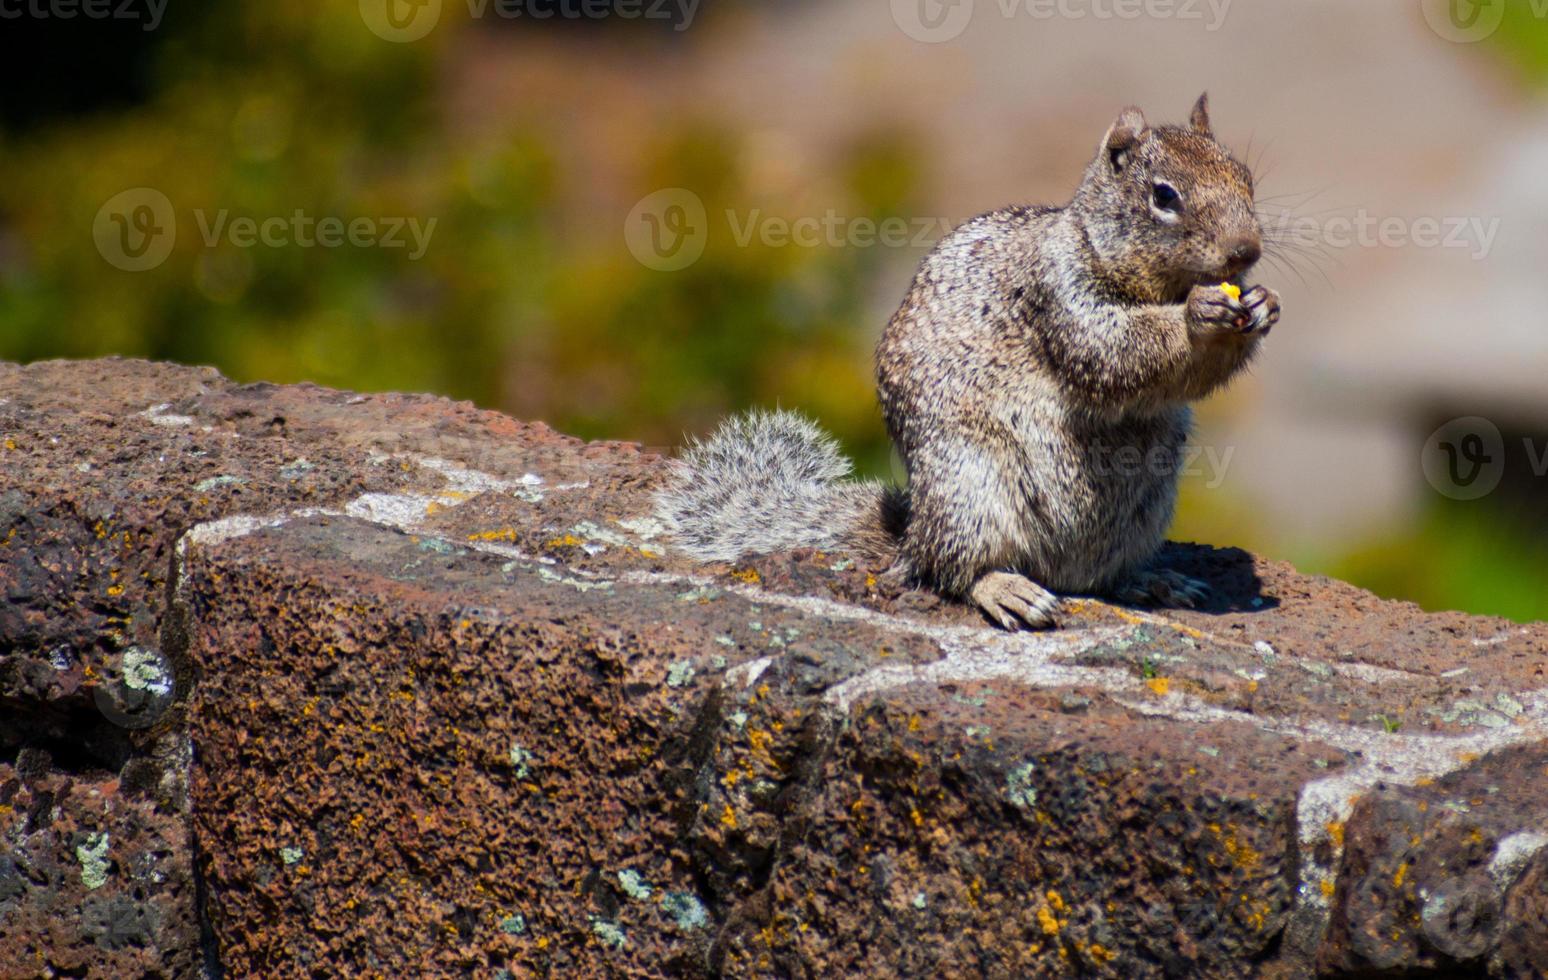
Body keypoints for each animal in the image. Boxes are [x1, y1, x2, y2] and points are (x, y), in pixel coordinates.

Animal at [659, 95, 1275, 631]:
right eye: (1164, 196)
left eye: (1246, 177)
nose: (1246, 250)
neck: (1153, 284)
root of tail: (909, 537)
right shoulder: (1058, 294)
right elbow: (1111, 351)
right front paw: (1198, 313)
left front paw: (1263, 304)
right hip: (969, 489)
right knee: (951, 571)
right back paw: (1008, 590)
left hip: (1145, 509)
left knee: (1100, 575)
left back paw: (1150, 580)